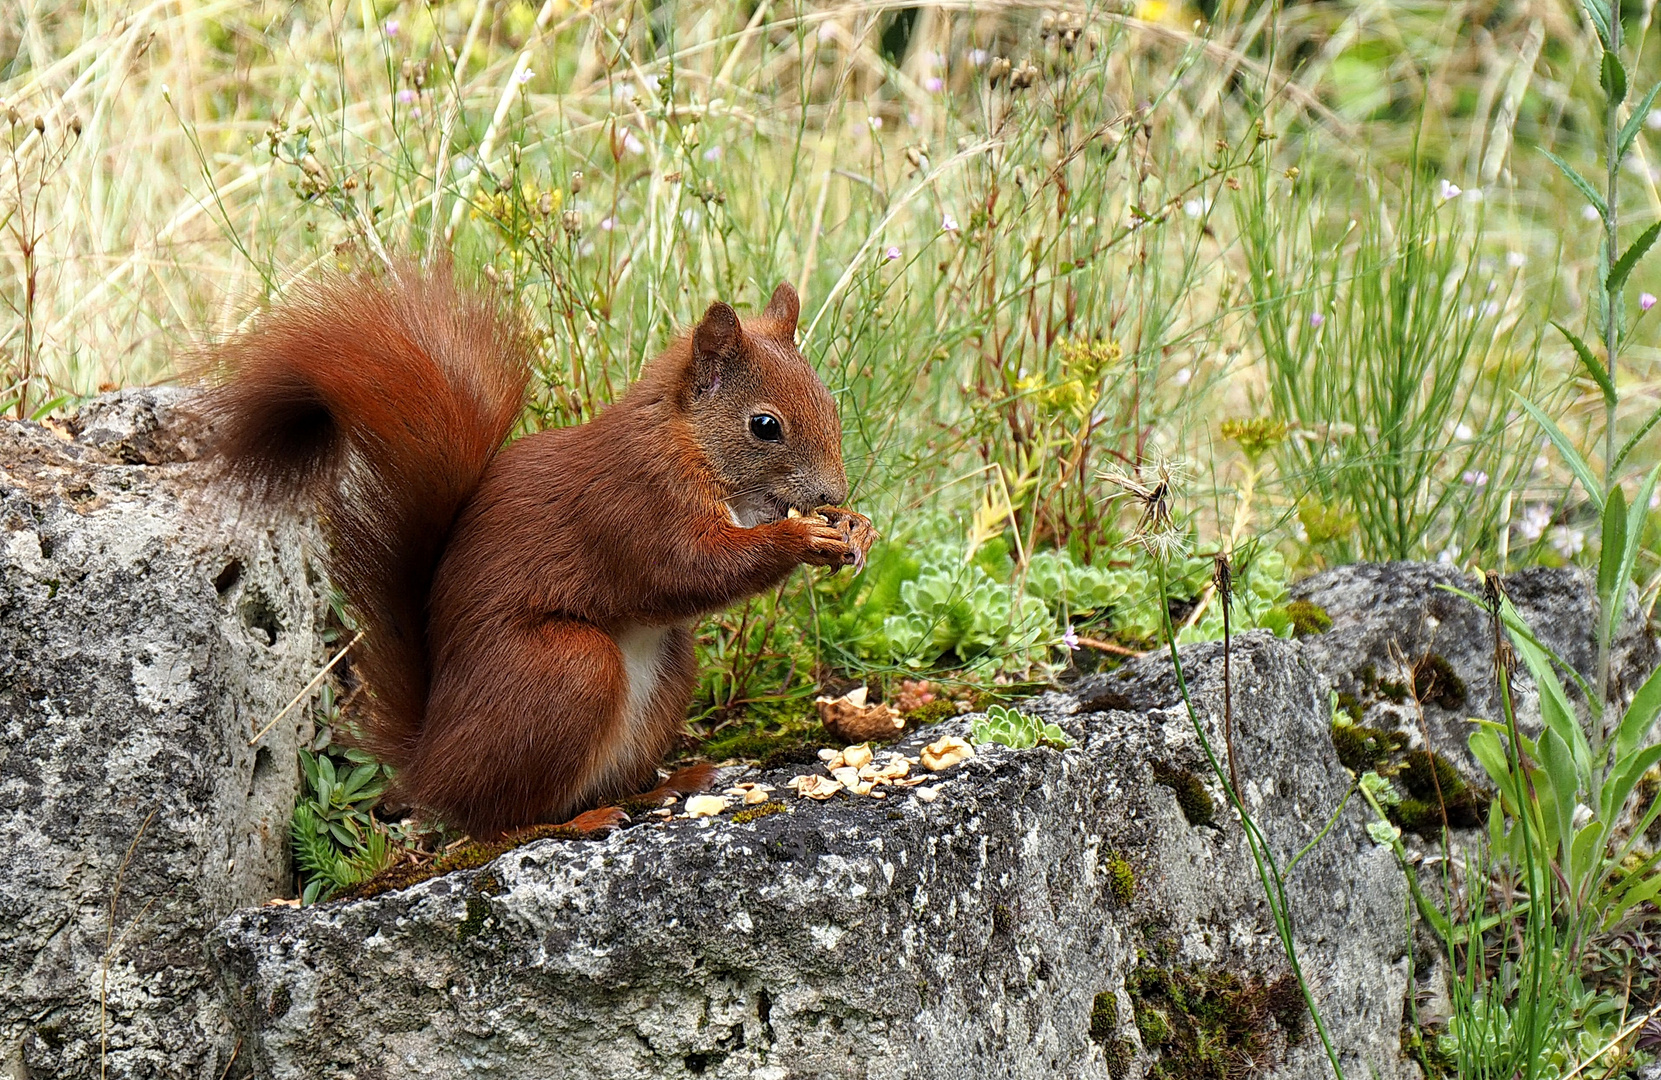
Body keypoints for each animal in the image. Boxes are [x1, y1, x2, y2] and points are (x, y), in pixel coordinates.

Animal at [200, 264, 877, 837]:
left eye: (830, 402)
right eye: (765, 426)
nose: (832, 493)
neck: (688, 443)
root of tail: (430, 761)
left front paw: (856, 527)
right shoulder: (636, 503)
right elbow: (691, 569)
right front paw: (803, 537)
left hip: (667, 671)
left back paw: (663, 787)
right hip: (566, 669)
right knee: (500, 818)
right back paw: (573, 822)